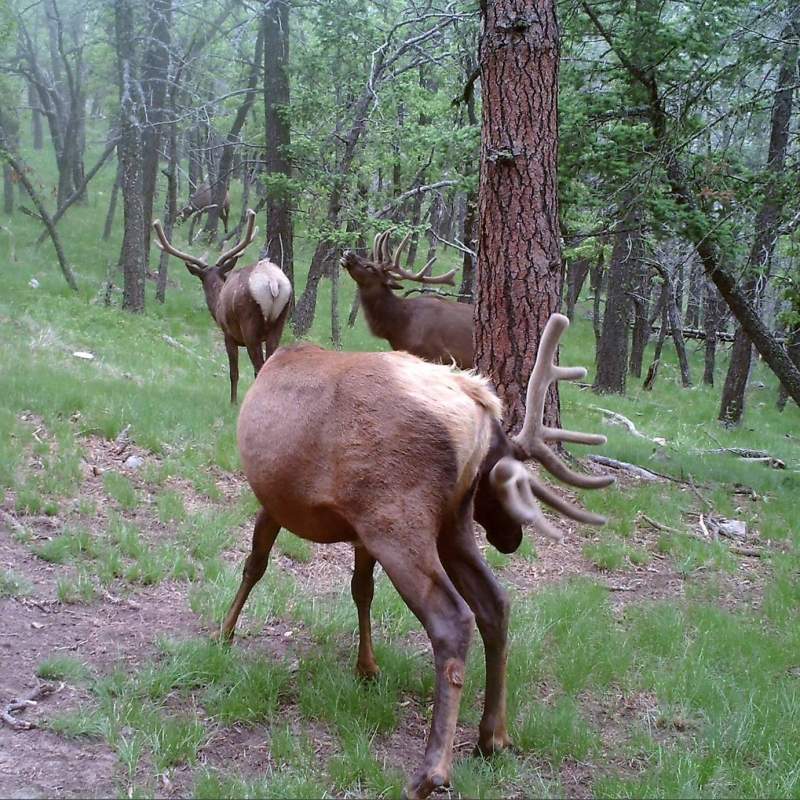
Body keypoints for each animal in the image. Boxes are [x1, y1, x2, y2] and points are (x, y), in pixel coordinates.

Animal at [153, 209, 292, 404]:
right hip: (279, 322)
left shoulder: (228, 334)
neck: (218, 300)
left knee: (258, 367)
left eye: (202, 280)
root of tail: (273, 283)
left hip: (250, 325)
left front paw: (232, 402)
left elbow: (234, 372)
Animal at [218, 313, 613, 799]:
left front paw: (224, 632)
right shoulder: (360, 531)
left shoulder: (277, 503)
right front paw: (367, 667)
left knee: (453, 618)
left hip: (399, 518)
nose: (513, 539)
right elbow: (361, 590)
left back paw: (431, 771)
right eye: (507, 484)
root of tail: (478, 411)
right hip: (450, 524)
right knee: (495, 603)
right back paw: (493, 737)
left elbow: (254, 564)